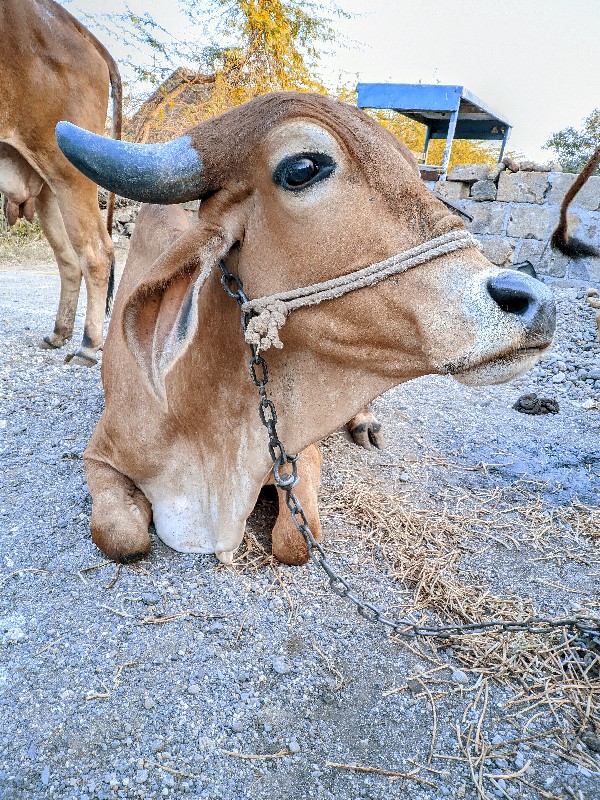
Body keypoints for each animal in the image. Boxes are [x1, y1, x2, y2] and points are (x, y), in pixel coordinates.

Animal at [0, 0, 120, 366]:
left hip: (68, 171)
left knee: (96, 251)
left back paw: (89, 344)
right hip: (49, 187)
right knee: (68, 257)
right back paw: (59, 333)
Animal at [54, 94, 556, 564]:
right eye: (302, 168)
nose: (536, 300)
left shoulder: (299, 454)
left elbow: (296, 540)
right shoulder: (100, 454)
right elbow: (122, 537)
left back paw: (366, 421)